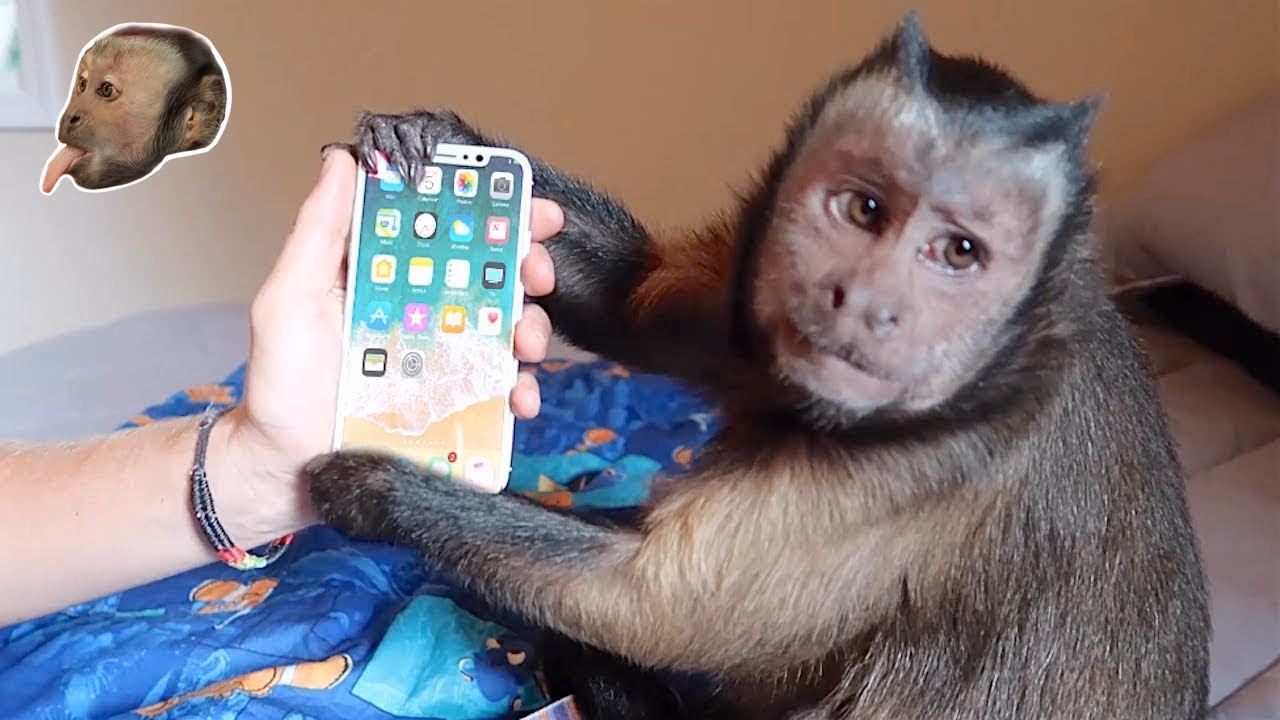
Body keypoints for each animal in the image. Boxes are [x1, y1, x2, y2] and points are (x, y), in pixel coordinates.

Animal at [304, 12, 1211, 719]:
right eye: (863, 208)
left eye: (959, 253)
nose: (866, 303)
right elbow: (646, 310)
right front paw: (440, 142)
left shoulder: (941, 467)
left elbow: (652, 602)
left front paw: (377, 485)